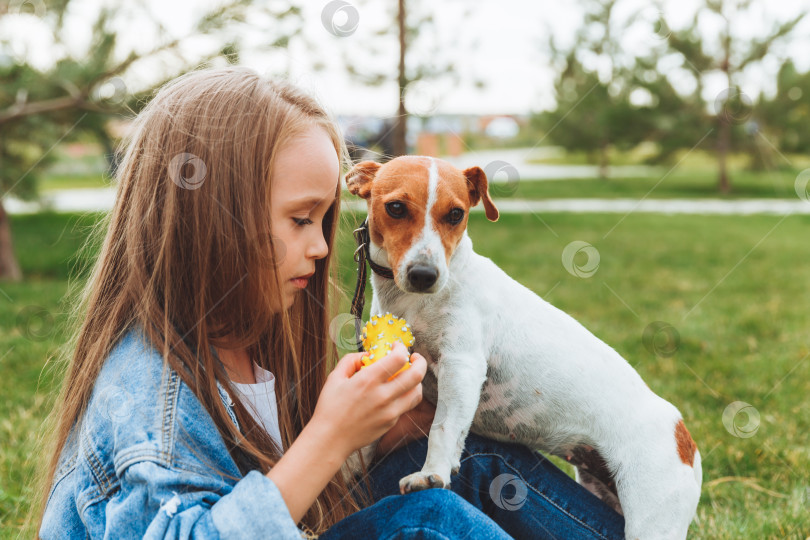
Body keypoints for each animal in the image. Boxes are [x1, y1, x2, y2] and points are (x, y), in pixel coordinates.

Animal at [340, 155, 700, 540]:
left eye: (456, 214)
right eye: (395, 208)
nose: (425, 275)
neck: (412, 303)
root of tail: (683, 436)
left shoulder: (461, 366)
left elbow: (443, 428)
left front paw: (432, 473)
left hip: (652, 518)